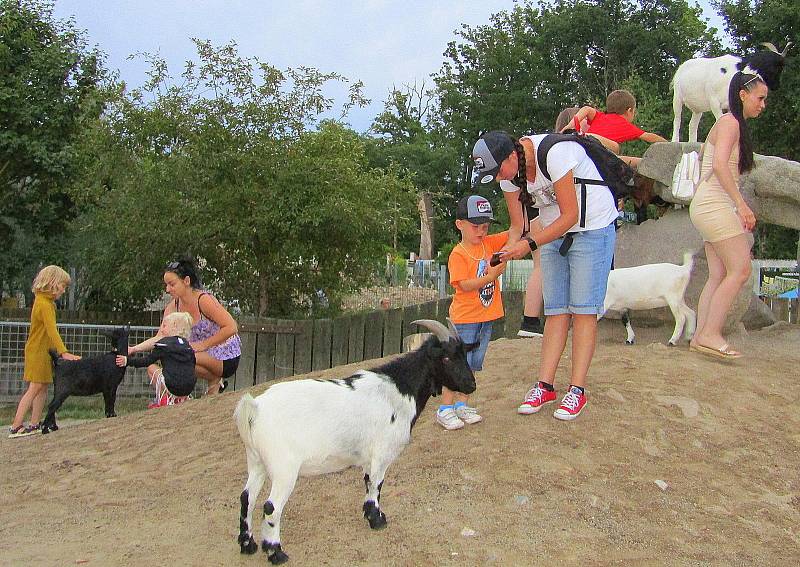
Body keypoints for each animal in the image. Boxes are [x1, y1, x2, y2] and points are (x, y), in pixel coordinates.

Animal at [234, 320, 478, 564]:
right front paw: (377, 520)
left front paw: (371, 515)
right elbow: (377, 484)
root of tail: (255, 408)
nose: (471, 385)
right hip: (284, 468)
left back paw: (248, 545)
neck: (399, 391)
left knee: (247, 497)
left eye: (464, 354)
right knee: (271, 507)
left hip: (256, 461)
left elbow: (368, 481)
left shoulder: (368, 458)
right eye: (445, 358)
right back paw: (276, 552)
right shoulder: (382, 453)